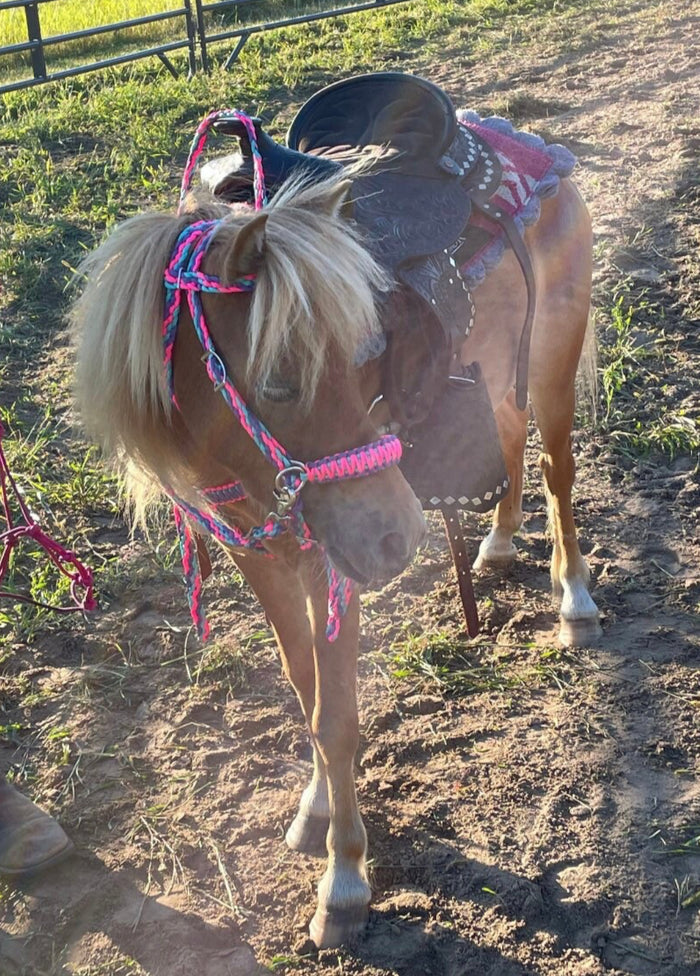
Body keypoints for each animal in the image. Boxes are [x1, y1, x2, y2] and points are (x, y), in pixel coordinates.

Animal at [71, 85, 600, 949]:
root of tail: (520, 143)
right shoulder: (263, 556)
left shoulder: (331, 563)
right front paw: (317, 804)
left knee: (557, 470)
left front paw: (344, 877)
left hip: (553, 359)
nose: (397, 538)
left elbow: (337, 715)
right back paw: (492, 541)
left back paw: (574, 601)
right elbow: (303, 686)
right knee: (509, 437)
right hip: (494, 363)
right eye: (279, 383)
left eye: (368, 353)